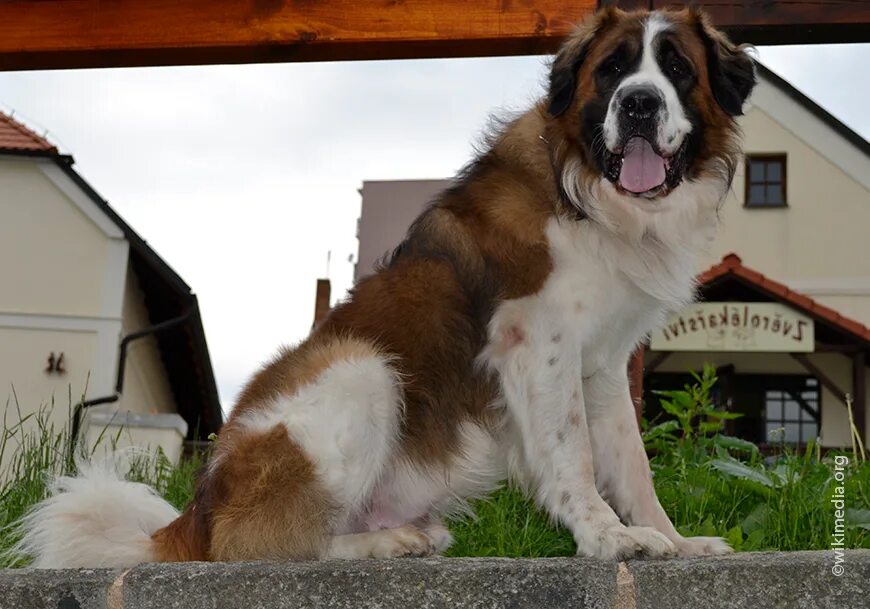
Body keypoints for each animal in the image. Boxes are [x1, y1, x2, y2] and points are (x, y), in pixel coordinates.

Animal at [17, 7, 760, 564]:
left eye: (676, 69)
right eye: (612, 71)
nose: (638, 104)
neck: (585, 191)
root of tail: (199, 507)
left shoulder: (601, 365)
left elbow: (631, 462)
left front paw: (671, 540)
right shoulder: (538, 342)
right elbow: (572, 454)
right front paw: (606, 537)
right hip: (362, 367)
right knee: (268, 543)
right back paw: (387, 543)